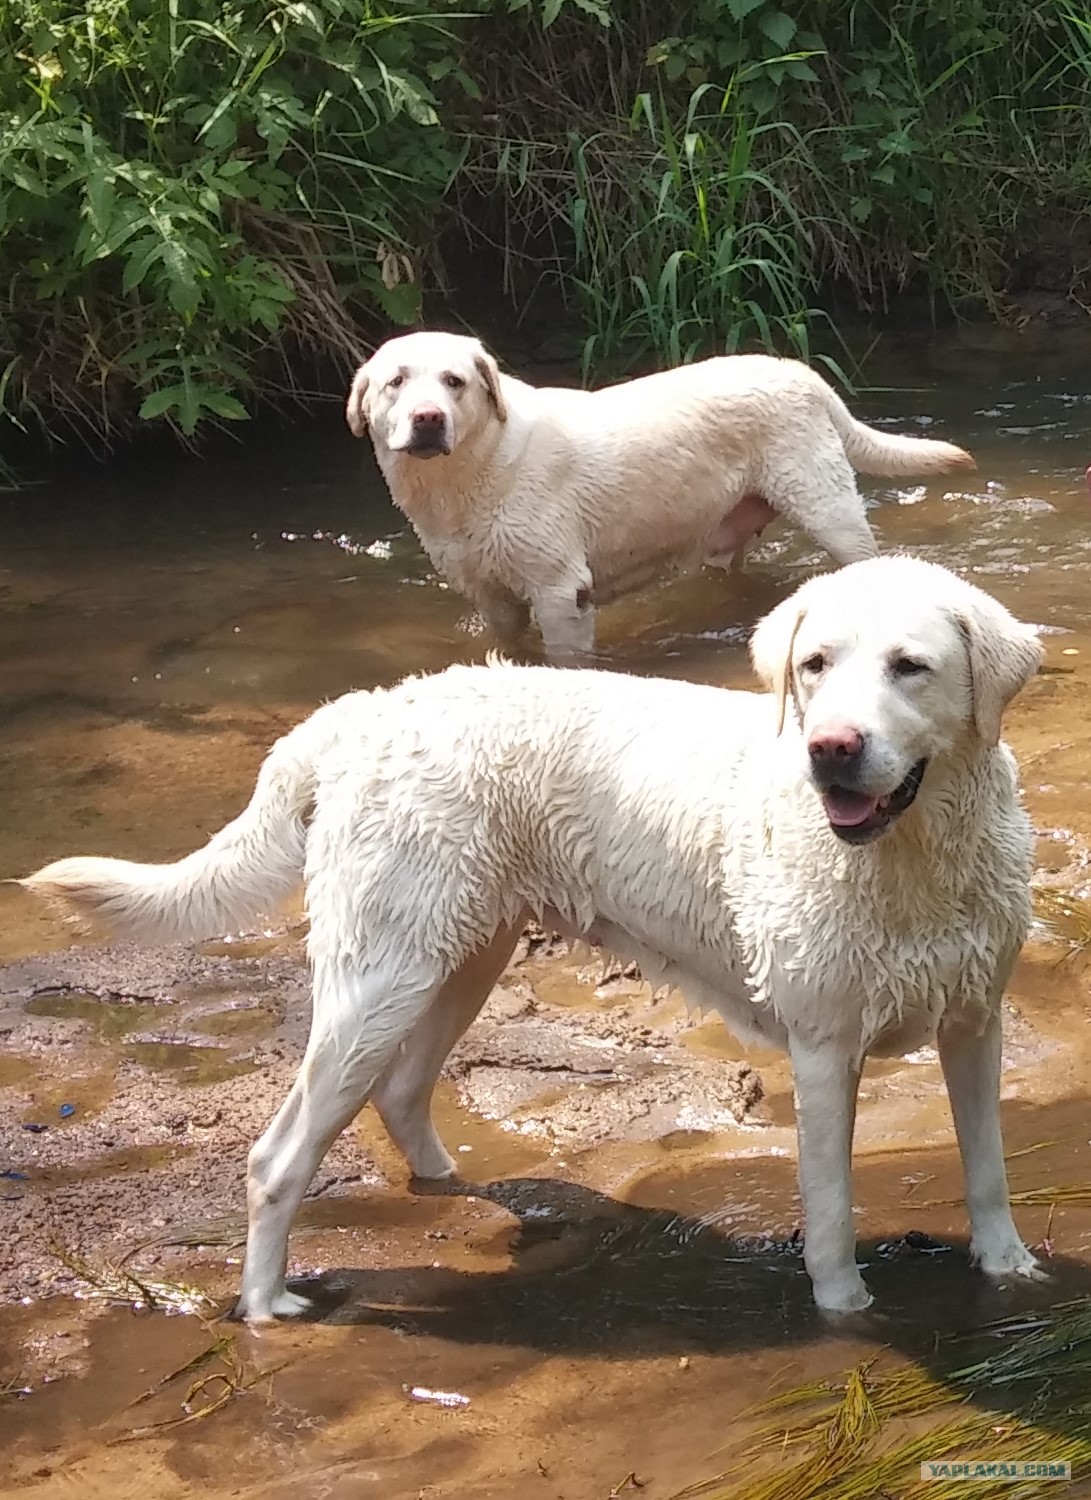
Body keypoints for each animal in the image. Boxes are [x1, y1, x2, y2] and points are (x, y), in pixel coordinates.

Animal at [25, 561, 1044, 1326]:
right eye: (813, 666)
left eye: (909, 666)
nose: (828, 748)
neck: (912, 864)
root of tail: (358, 713)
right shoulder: (824, 1046)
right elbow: (829, 1211)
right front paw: (845, 1316)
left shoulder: (975, 1020)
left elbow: (988, 1166)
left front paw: (1007, 1268)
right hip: (379, 979)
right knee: (278, 1158)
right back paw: (267, 1304)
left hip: (459, 956)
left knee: (401, 1090)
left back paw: (449, 1183)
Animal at [348, 331, 972, 660]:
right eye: (395, 382)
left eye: (454, 382)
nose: (428, 420)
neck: (468, 476)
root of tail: (800, 372)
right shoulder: (492, 598)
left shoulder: (560, 590)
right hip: (728, 535)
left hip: (829, 511)